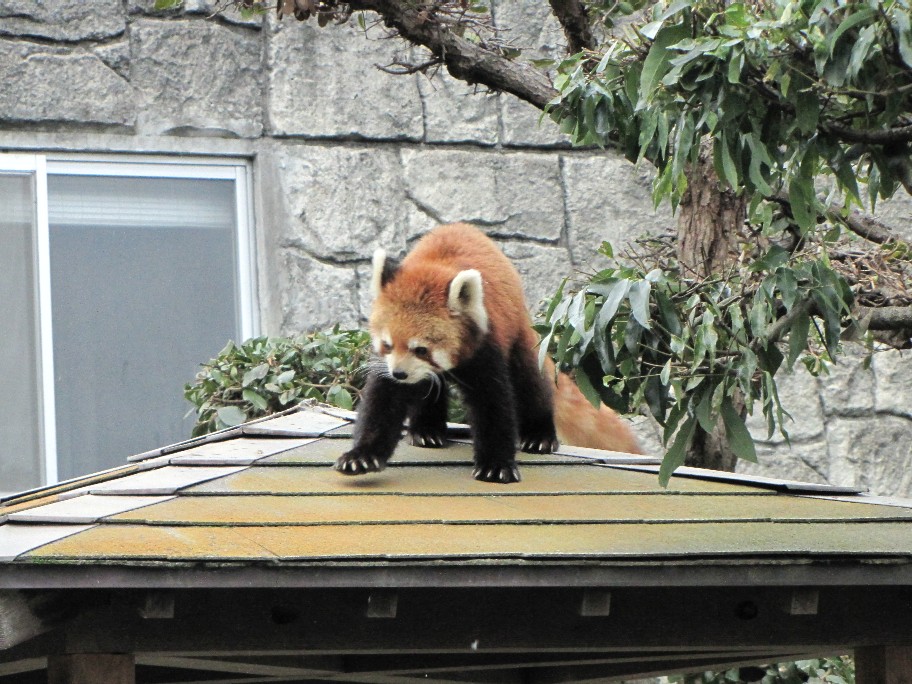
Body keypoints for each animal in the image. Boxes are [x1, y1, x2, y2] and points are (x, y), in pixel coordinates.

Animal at [334, 222, 640, 484]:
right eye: (387, 344)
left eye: (421, 349)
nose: (399, 373)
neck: (435, 267)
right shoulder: (387, 366)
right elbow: (382, 403)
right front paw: (361, 457)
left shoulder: (486, 345)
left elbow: (493, 404)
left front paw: (496, 466)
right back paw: (427, 431)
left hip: (519, 334)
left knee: (530, 382)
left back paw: (539, 436)